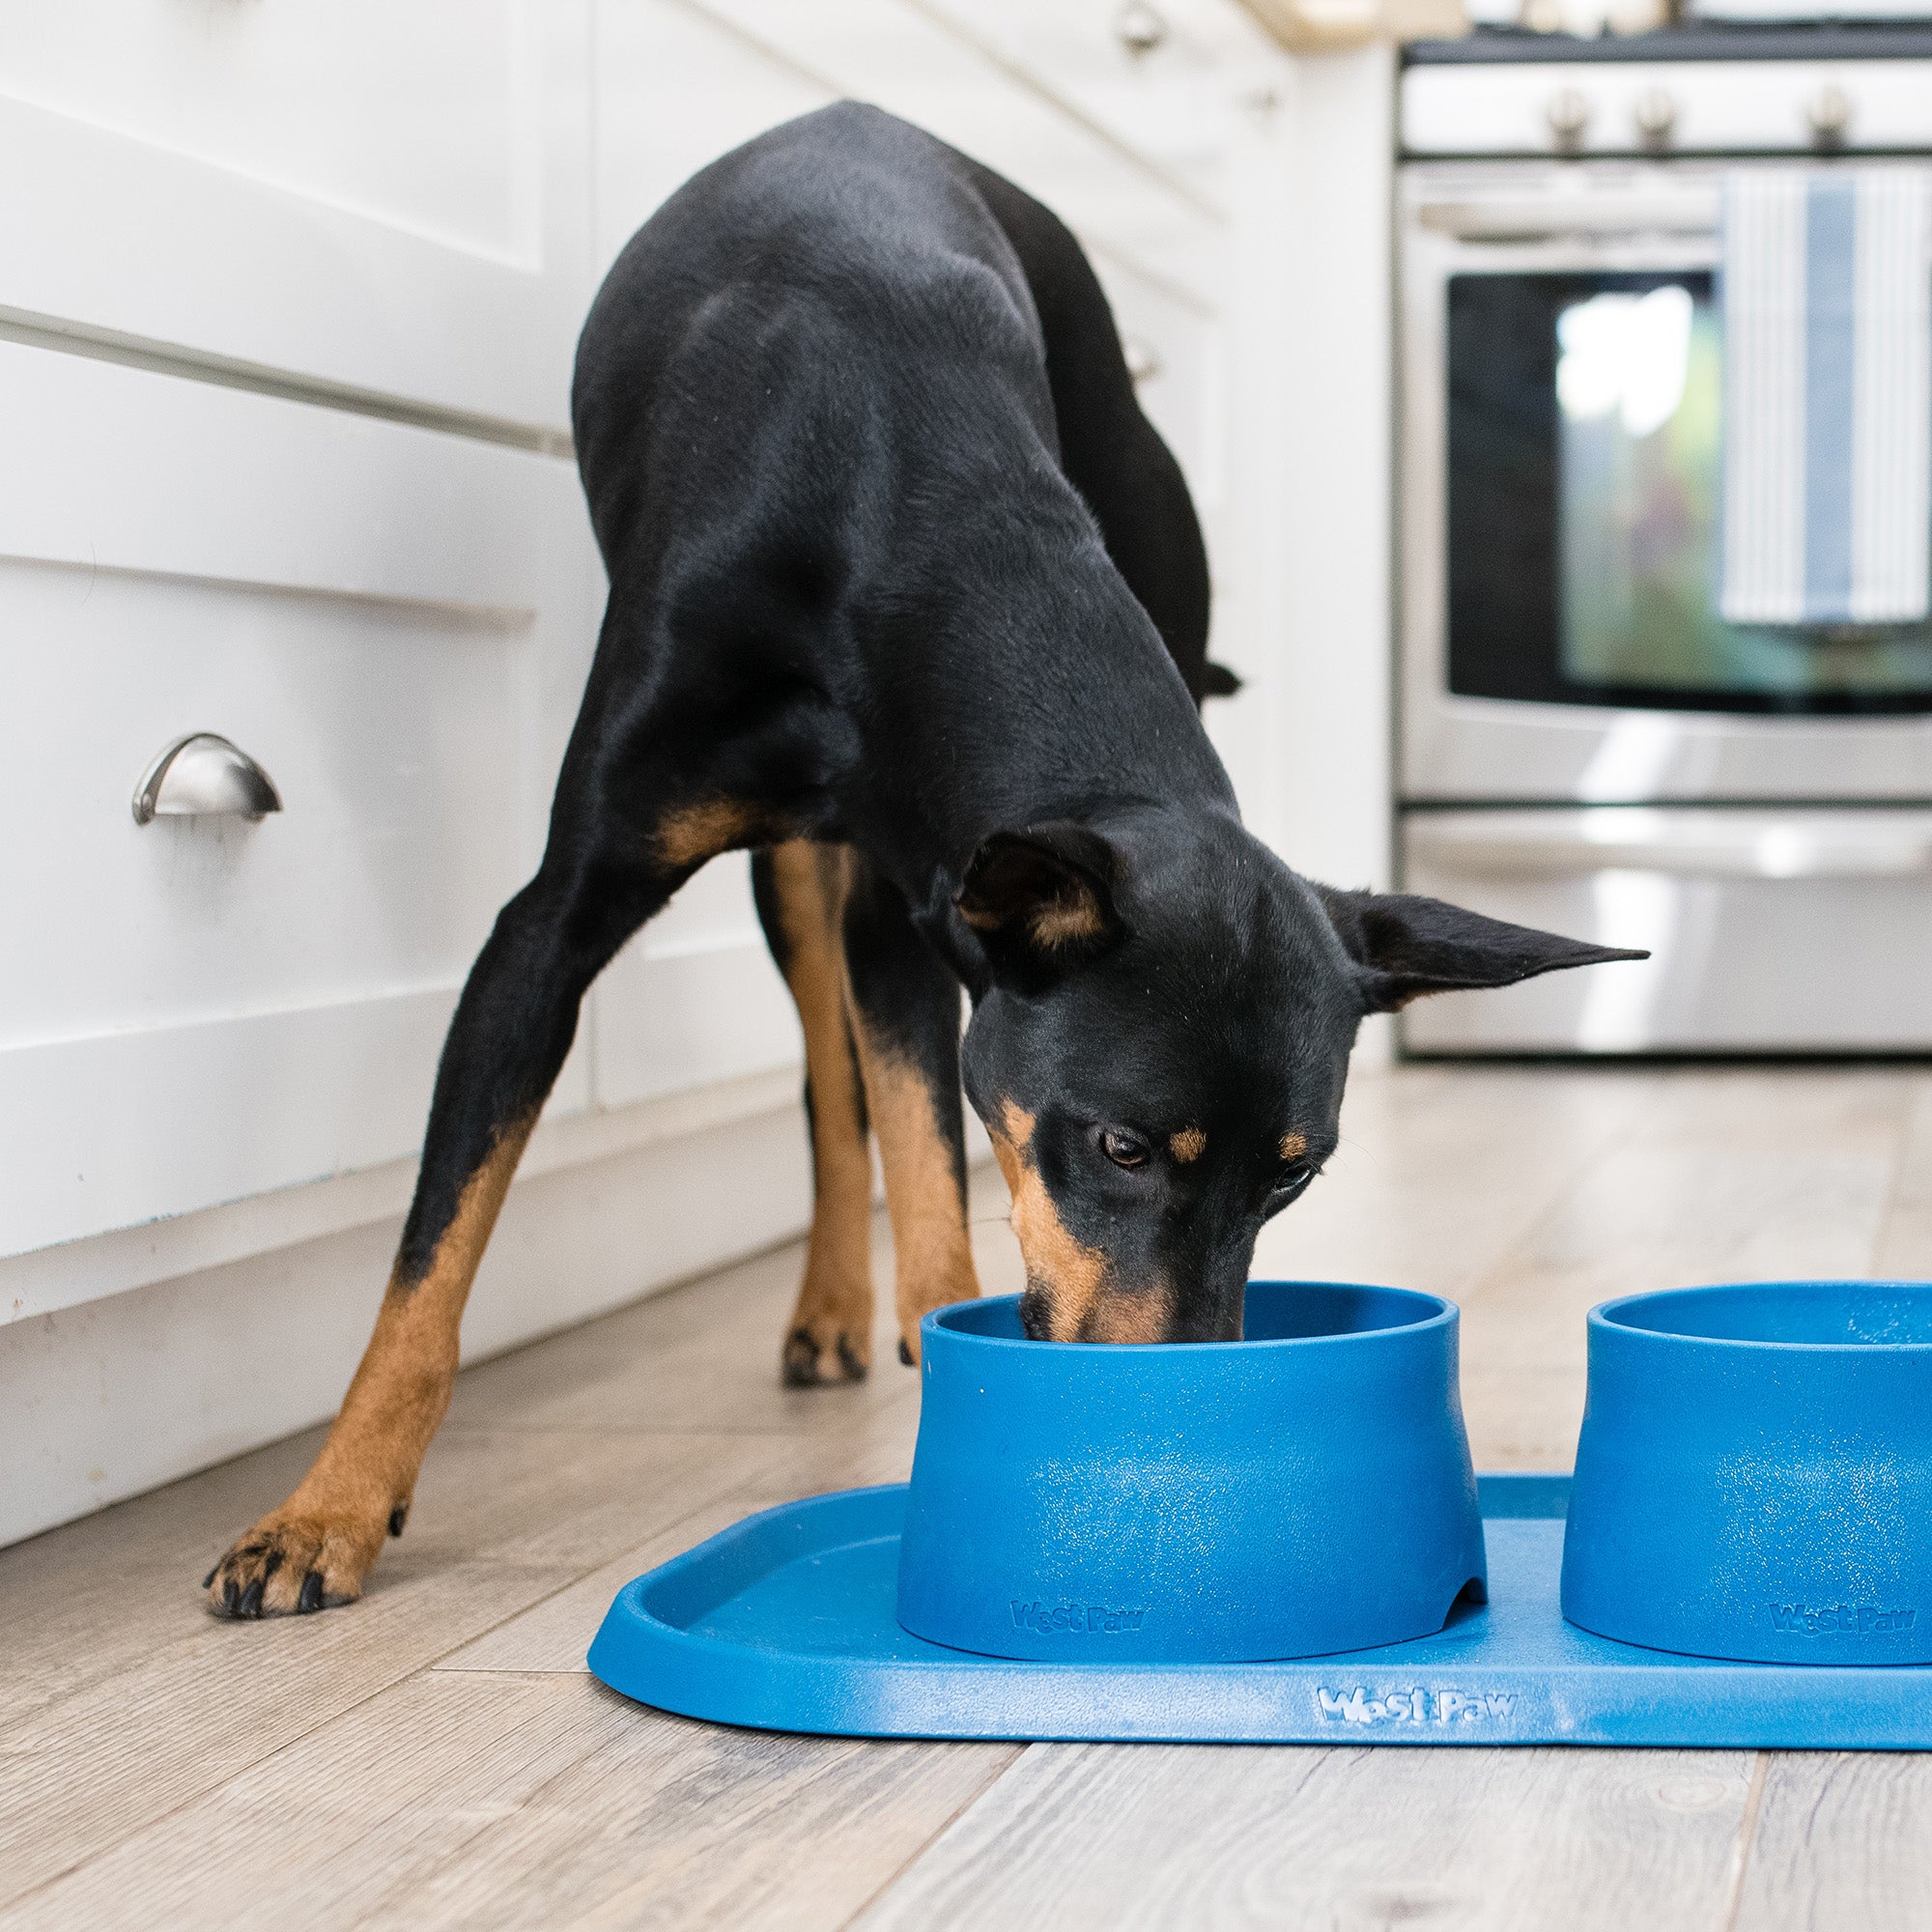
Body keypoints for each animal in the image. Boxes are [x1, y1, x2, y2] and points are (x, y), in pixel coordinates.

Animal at [208, 105, 1631, 1615]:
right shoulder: (552, 920)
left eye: (1294, 1177)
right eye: (1123, 1146)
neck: (899, 487)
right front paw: (321, 1513)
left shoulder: (927, 904)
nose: (1188, 1404)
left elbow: (930, 1174)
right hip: (793, 873)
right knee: (818, 1065)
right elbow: (433, 1253)